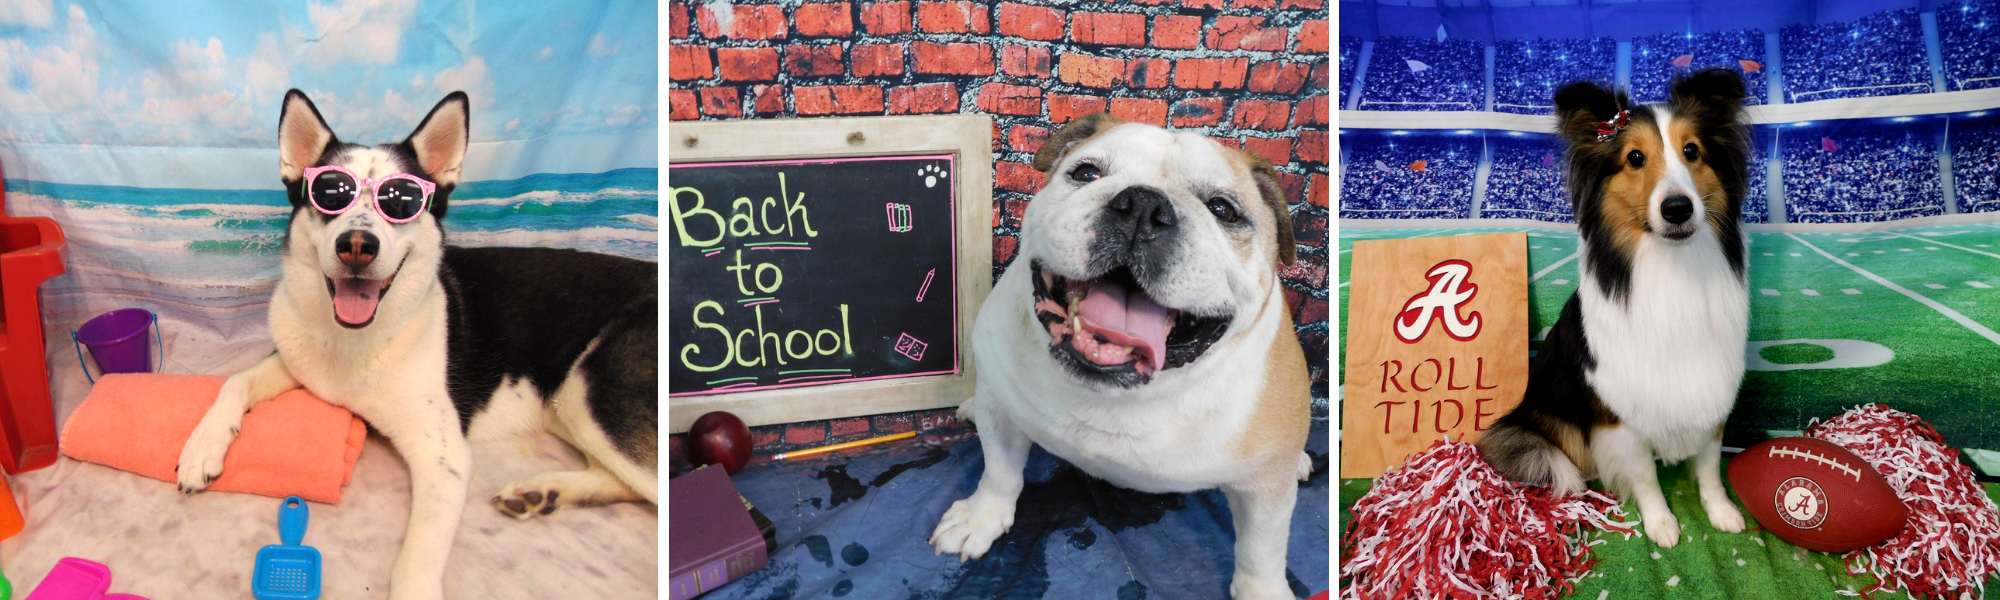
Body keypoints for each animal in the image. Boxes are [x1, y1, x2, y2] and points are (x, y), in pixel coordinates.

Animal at [173, 90, 656, 600]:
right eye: (331, 193)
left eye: (401, 201)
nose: (357, 244)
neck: (355, 340)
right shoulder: (296, 358)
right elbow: (235, 382)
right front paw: (202, 446)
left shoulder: (443, 461)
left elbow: (414, 565)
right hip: (571, 407)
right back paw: (544, 493)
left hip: (589, 393)